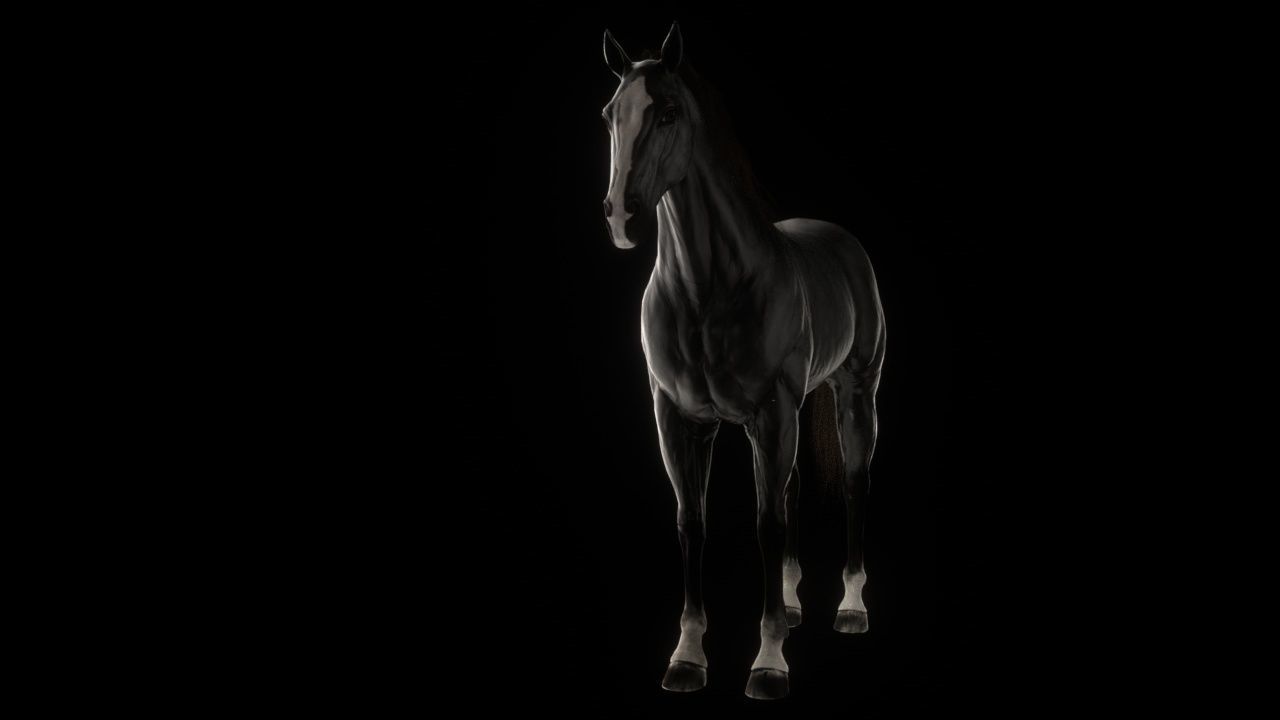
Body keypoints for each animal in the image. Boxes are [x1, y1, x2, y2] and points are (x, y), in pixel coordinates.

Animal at [601, 23, 887, 700]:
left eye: (668, 112)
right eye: (609, 115)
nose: (621, 216)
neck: (708, 291)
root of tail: (844, 243)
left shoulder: (770, 414)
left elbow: (765, 523)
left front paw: (770, 662)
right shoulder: (678, 418)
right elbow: (693, 521)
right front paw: (686, 658)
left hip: (855, 395)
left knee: (854, 483)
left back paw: (850, 607)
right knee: (793, 487)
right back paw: (794, 604)